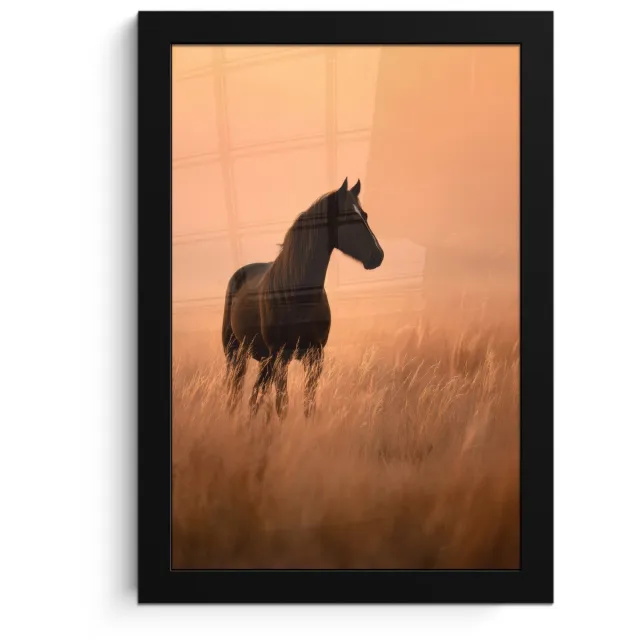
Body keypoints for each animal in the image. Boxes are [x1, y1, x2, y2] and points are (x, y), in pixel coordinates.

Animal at [221, 177, 384, 419]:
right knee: (237, 393)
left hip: (264, 360)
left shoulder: (314, 356)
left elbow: (309, 404)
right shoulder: (281, 357)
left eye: (364, 215)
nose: (378, 255)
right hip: (236, 354)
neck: (296, 295)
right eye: (349, 216)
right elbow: (282, 404)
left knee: (255, 396)